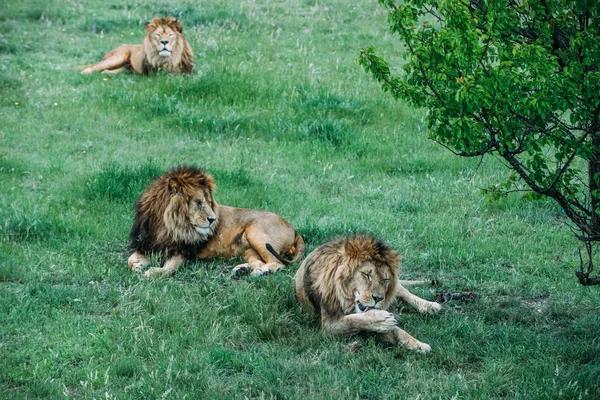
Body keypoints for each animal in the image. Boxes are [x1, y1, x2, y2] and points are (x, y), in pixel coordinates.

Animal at [127, 166, 304, 278]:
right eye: (198, 202)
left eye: (208, 202)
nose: (213, 220)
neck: (165, 226)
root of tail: (295, 230)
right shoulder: (146, 244)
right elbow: (130, 260)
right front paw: (137, 266)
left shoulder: (183, 251)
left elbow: (170, 268)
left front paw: (153, 272)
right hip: (249, 248)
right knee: (260, 262)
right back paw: (242, 271)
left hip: (256, 233)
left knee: (277, 263)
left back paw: (261, 272)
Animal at [296, 234, 440, 354]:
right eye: (366, 275)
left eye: (386, 279)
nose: (378, 298)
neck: (347, 300)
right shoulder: (329, 325)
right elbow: (353, 320)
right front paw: (382, 321)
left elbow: (398, 330)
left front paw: (418, 344)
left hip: (396, 287)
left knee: (404, 291)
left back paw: (430, 306)